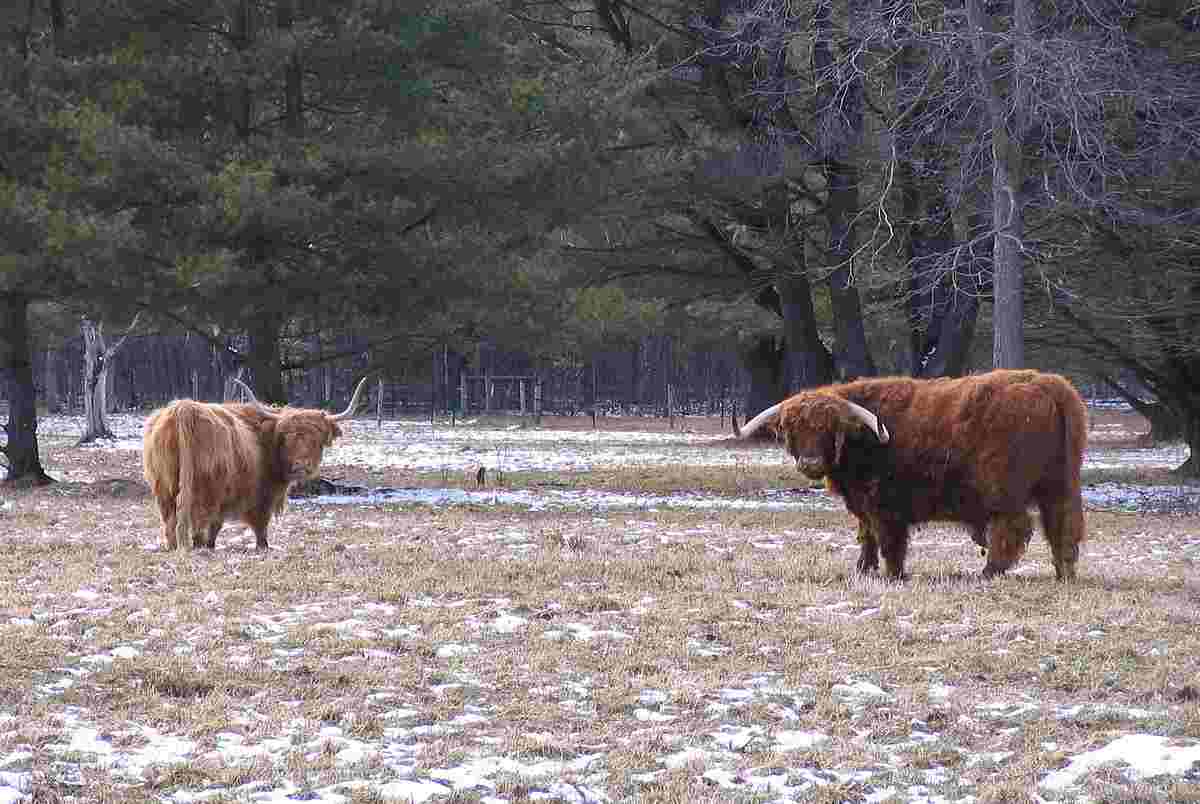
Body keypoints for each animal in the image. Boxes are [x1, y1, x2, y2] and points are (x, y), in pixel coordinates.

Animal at [141, 379, 367, 554]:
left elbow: (216, 527)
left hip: (163, 487)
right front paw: (262, 547)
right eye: (287, 437)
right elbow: (259, 525)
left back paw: (174, 547)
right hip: (203, 489)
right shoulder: (261, 496)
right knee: (196, 519)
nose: (301, 465)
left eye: (318, 439)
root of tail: (184, 408)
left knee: (170, 520)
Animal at [734, 369, 1094, 583]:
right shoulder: (863, 504)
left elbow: (888, 540)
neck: (863, 439)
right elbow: (866, 535)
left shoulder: (884, 505)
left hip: (1006, 490)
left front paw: (893, 574)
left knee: (1015, 527)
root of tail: (1046, 384)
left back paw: (989, 571)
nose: (810, 463)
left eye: (828, 429)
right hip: (1061, 483)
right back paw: (1064, 573)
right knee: (1064, 525)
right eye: (791, 428)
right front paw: (863, 570)